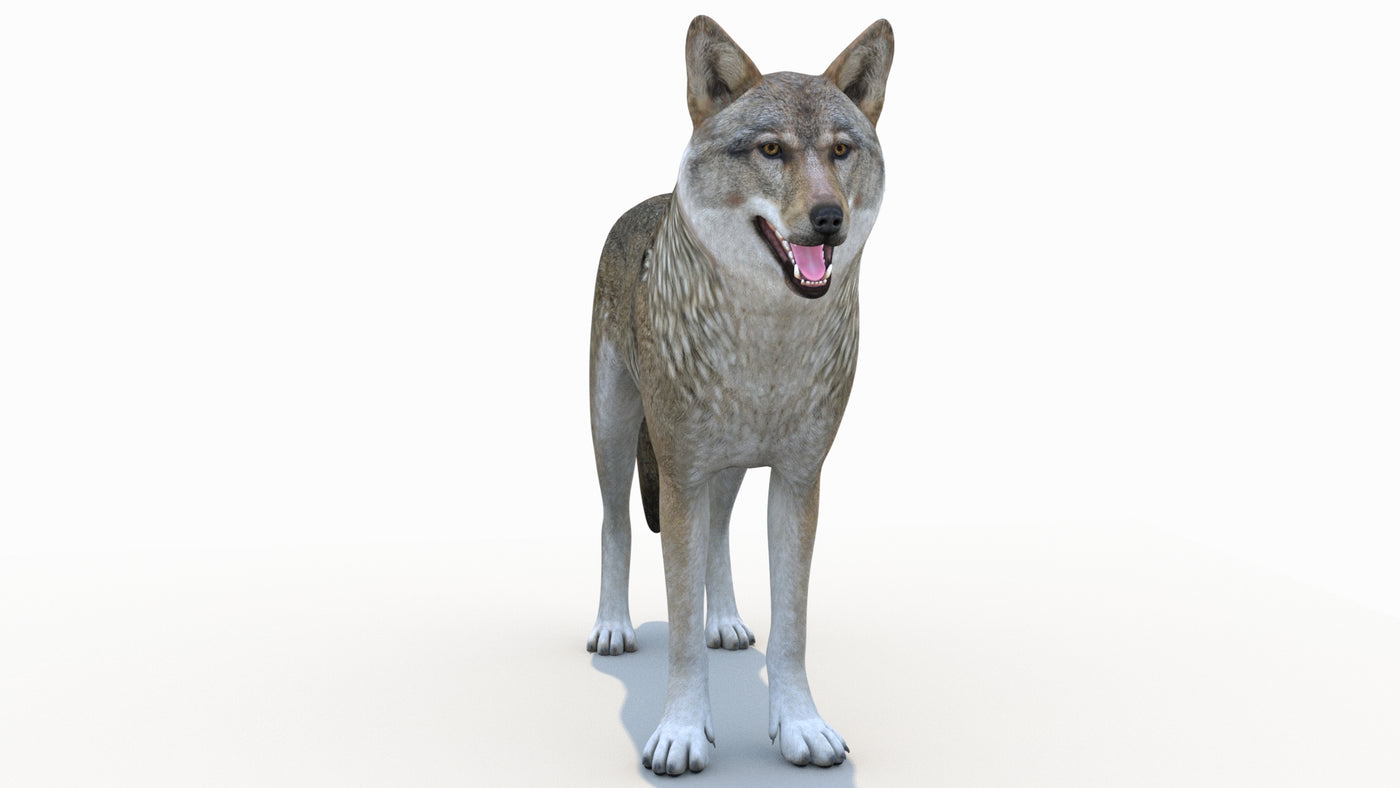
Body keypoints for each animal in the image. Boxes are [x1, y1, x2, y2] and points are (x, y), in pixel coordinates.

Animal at [586, 15, 894, 775]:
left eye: (841, 151)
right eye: (771, 150)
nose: (829, 217)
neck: (767, 344)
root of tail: (645, 204)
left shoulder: (798, 478)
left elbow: (792, 626)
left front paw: (801, 727)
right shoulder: (681, 473)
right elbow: (680, 629)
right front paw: (681, 734)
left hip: (724, 469)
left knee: (720, 534)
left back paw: (724, 620)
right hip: (614, 433)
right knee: (614, 523)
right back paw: (612, 627)